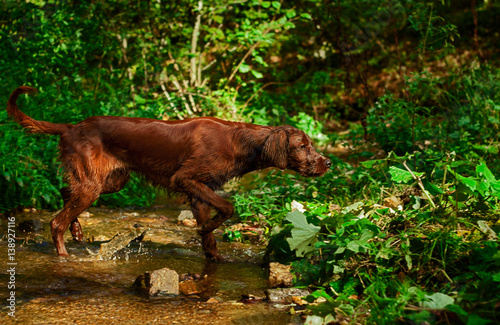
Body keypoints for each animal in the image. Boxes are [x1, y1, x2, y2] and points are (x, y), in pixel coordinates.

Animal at [7, 85, 332, 258]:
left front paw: (211, 251)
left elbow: (211, 230)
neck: (243, 142)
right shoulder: (187, 179)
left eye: (310, 144)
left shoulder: (199, 191)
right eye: (302, 146)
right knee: (55, 220)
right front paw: (205, 230)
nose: (327, 163)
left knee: (65, 193)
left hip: (109, 181)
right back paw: (63, 253)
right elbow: (227, 207)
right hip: (93, 185)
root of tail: (72, 126)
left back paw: (77, 230)